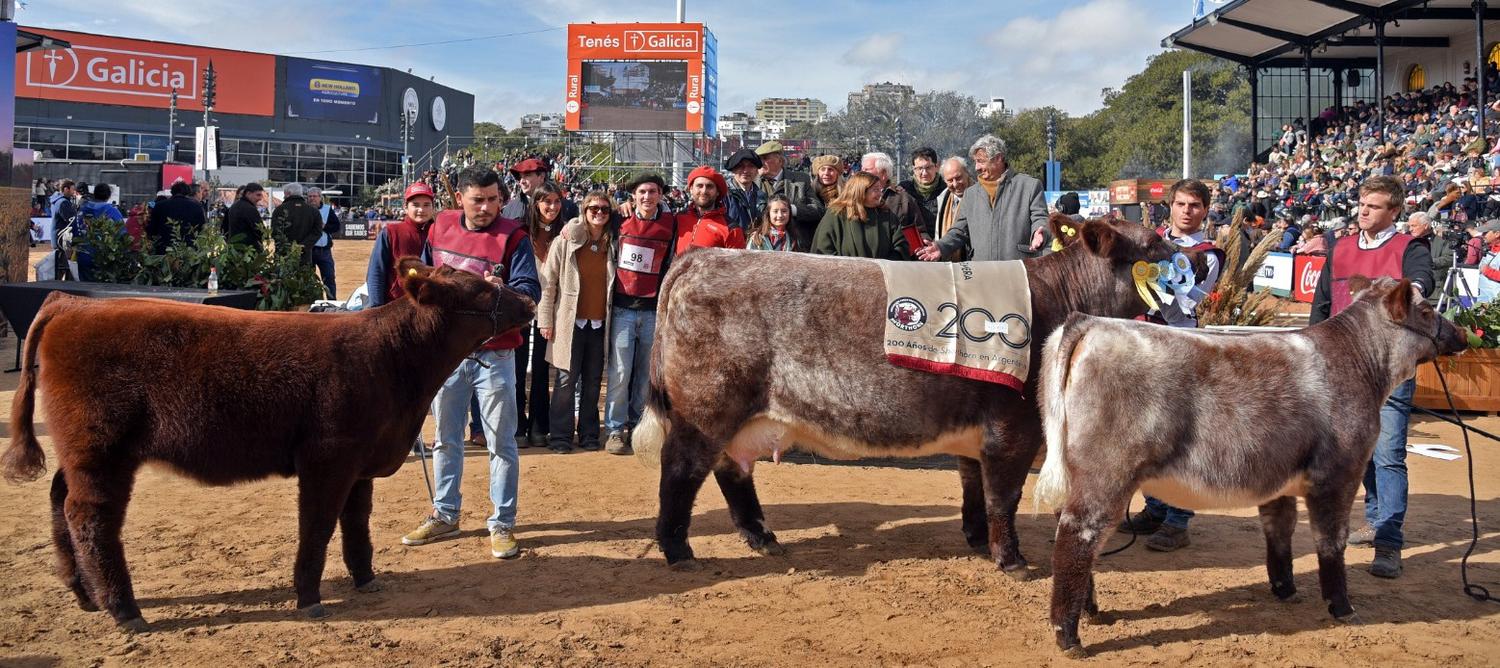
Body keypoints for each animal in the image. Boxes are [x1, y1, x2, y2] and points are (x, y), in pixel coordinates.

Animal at [1, 259, 535, 633]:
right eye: (481, 288)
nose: (528, 303)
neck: (393, 359)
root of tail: (73, 303)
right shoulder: (328, 458)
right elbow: (317, 526)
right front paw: (309, 598)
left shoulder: (361, 461)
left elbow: (356, 524)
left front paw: (365, 578)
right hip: (102, 450)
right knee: (90, 517)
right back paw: (124, 609)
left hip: (80, 451)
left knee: (58, 499)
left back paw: (83, 595)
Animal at [633, 216, 1197, 574]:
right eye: (1155, 247)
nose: (1195, 258)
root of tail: (700, 258)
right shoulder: (1013, 425)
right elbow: (1004, 494)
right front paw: (1011, 560)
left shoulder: (978, 430)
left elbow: (975, 488)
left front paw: (977, 541)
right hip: (706, 406)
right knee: (680, 470)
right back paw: (679, 551)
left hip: (738, 414)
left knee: (731, 471)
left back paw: (763, 537)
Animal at [1033, 276, 1467, 657]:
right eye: (1426, 310)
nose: (1462, 335)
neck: (1359, 362)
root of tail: (1091, 322)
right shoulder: (1339, 475)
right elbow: (1331, 543)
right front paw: (1342, 607)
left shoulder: (1280, 482)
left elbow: (1279, 534)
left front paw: (1285, 589)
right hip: (1107, 474)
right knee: (1076, 539)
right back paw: (1068, 637)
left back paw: (1089, 611)